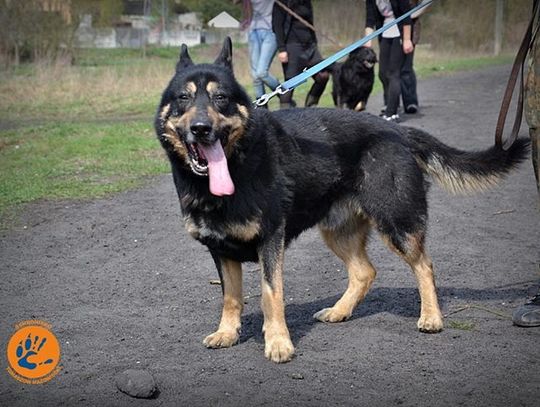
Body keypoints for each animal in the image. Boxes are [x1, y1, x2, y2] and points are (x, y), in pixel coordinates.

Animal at [154, 37, 528, 364]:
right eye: (183, 98)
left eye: (220, 98)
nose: (201, 129)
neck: (237, 162)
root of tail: (398, 131)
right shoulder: (221, 250)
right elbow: (231, 297)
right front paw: (228, 333)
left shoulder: (270, 241)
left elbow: (271, 294)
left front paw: (278, 343)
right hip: (338, 231)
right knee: (365, 272)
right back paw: (340, 311)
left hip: (397, 223)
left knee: (424, 265)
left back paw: (431, 317)